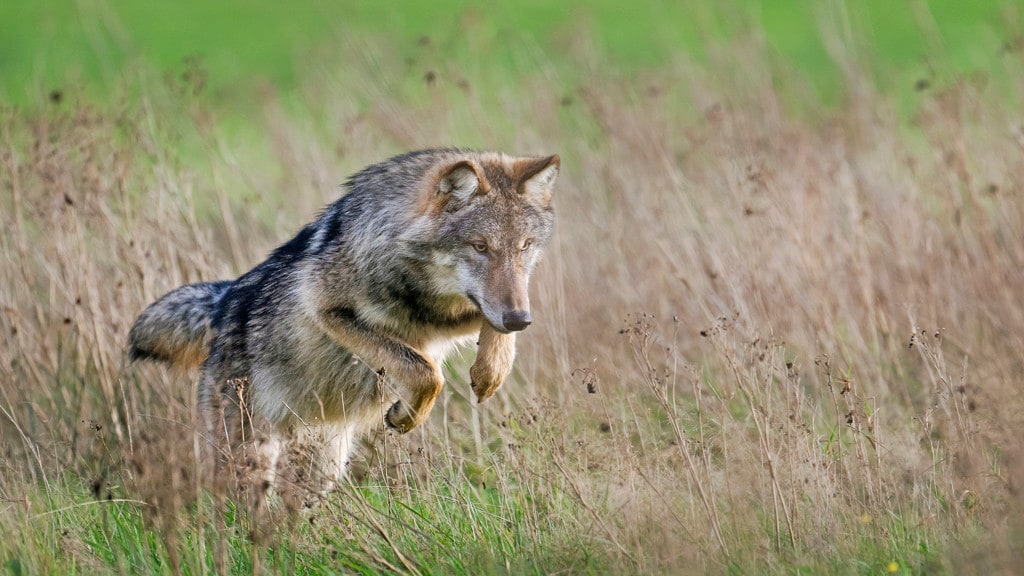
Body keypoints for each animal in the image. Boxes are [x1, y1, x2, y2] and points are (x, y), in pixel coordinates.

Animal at [128, 148, 559, 479]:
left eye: (524, 246)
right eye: (480, 246)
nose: (520, 320)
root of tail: (225, 300)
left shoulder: (470, 315)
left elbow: (487, 332)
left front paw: (489, 373)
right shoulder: (327, 309)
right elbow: (427, 373)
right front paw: (407, 416)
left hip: (327, 465)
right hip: (248, 455)